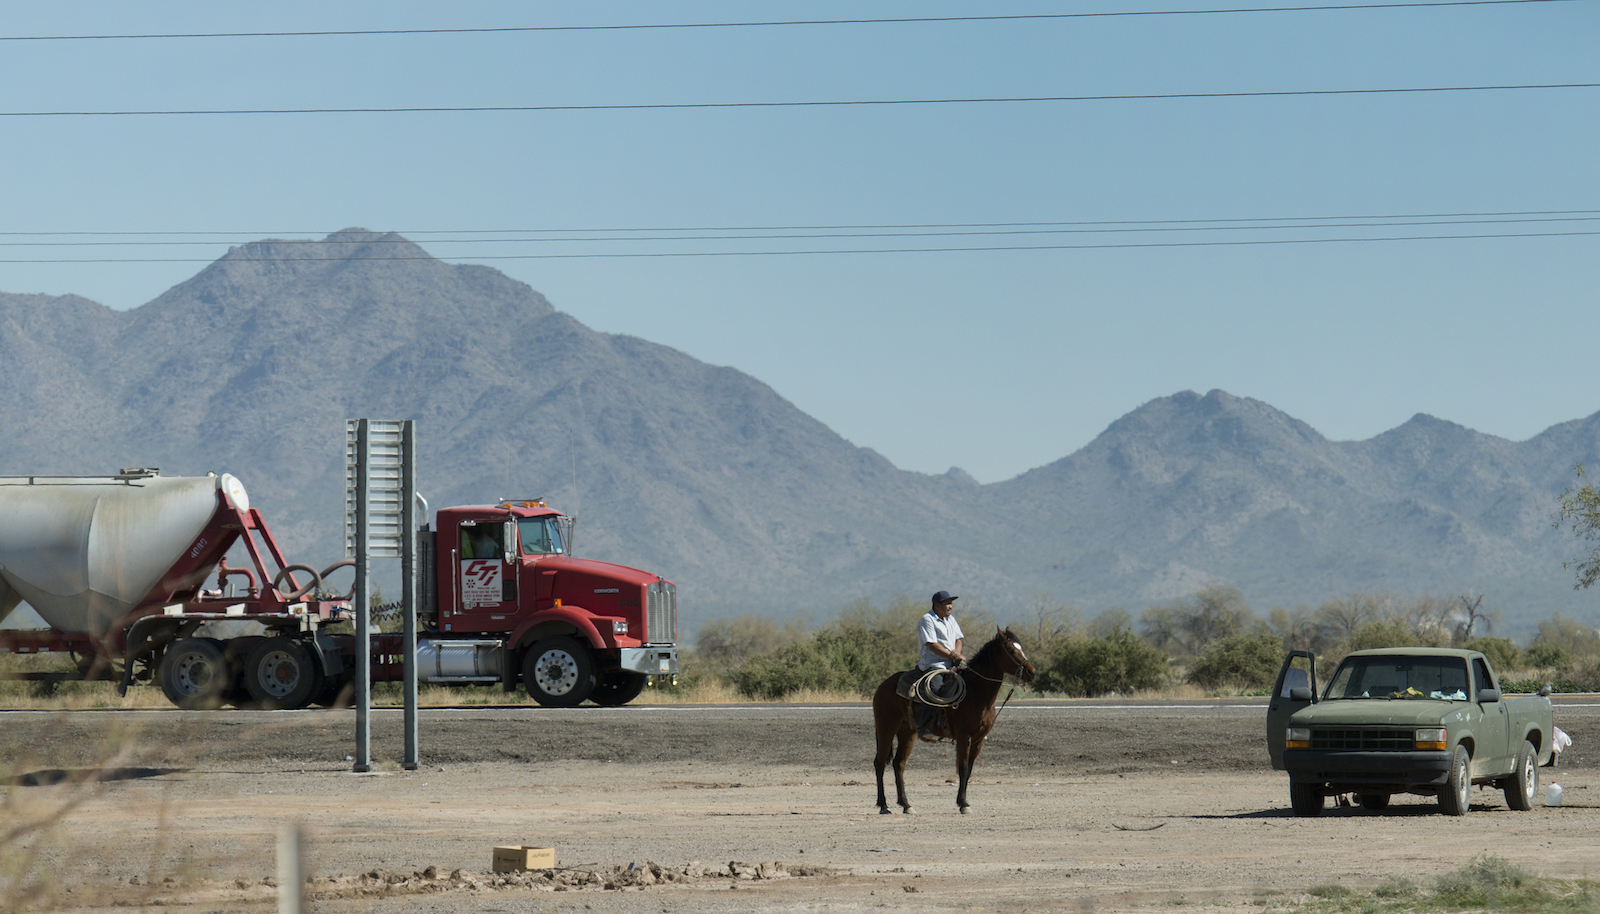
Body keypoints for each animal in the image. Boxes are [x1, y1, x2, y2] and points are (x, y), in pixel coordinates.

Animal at [876, 630, 1036, 816]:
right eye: (1011, 649)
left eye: (1021, 647)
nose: (1031, 671)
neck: (976, 693)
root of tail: (883, 685)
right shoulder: (963, 736)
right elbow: (963, 768)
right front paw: (964, 804)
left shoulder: (978, 739)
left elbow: (969, 770)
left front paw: (963, 802)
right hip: (886, 728)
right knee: (880, 763)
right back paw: (884, 806)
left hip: (907, 732)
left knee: (899, 764)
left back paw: (906, 805)